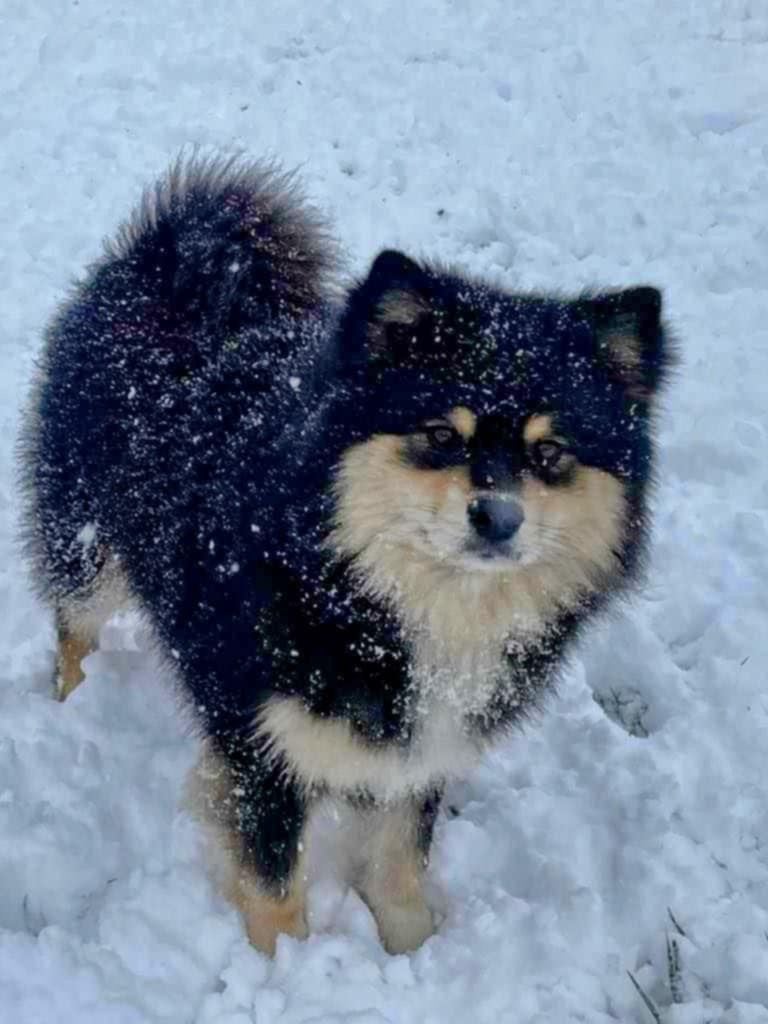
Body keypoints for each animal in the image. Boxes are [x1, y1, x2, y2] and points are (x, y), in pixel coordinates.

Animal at [18, 155, 671, 954]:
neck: (368, 594)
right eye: (442, 435)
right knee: (73, 627)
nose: (498, 517)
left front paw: (411, 949)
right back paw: (73, 702)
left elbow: (398, 862)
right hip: (87, 542)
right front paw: (285, 968)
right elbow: (275, 888)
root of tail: (166, 262)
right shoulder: (261, 750)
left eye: (550, 454)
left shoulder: (419, 755)